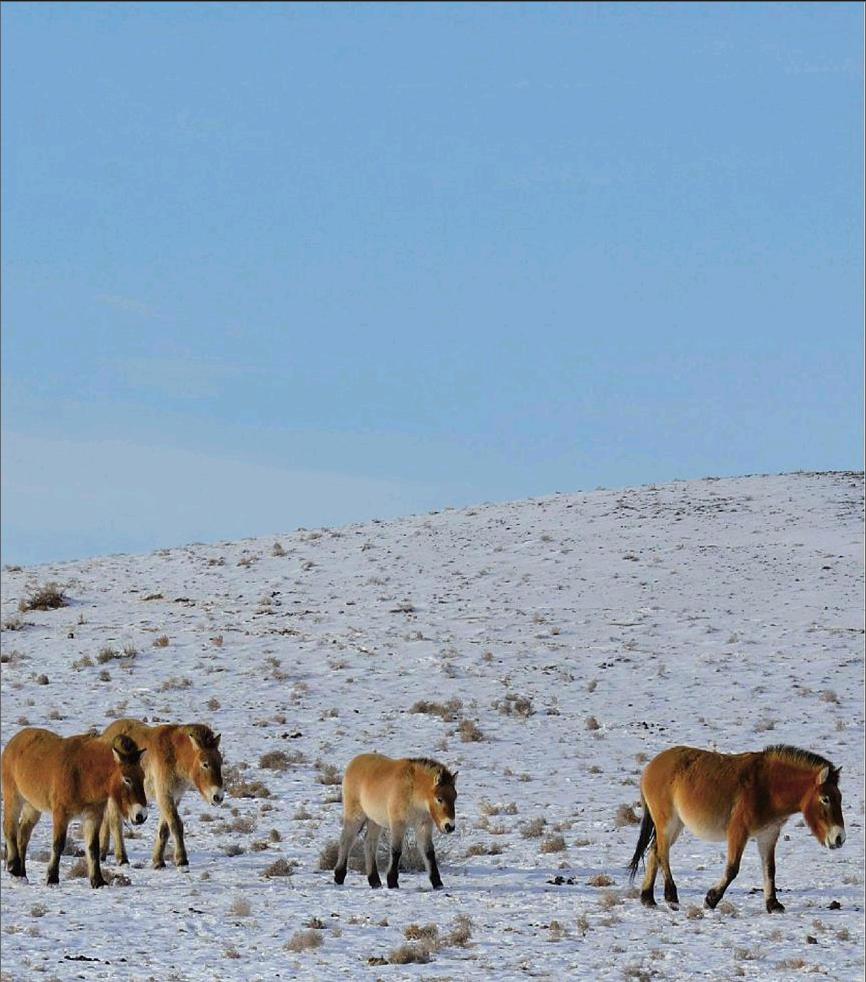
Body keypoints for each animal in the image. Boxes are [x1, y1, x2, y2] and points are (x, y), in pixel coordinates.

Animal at [0, 724, 147, 892]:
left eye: (143, 777)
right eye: (127, 779)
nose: (141, 815)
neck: (83, 774)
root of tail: (14, 742)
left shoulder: (93, 816)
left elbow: (93, 848)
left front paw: (98, 881)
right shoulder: (61, 814)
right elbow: (58, 845)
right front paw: (52, 878)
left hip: (32, 807)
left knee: (23, 834)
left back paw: (22, 874)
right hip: (14, 798)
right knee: (10, 828)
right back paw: (13, 866)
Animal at [98, 720, 223, 872]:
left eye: (220, 762)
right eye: (205, 764)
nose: (218, 797)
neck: (174, 754)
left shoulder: (174, 797)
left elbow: (164, 829)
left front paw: (158, 861)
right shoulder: (164, 795)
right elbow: (175, 824)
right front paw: (182, 861)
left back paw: (102, 853)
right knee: (115, 823)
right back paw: (122, 859)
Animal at [330, 752, 456, 892]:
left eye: (454, 797)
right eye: (439, 799)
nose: (449, 826)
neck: (412, 790)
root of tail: (354, 762)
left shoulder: (424, 825)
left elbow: (429, 852)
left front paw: (437, 883)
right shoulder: (398, 824)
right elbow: (396, 851)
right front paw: (392, 882)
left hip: (374, 821)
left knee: (369, 843)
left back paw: (374, 881)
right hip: (355, 816)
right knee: (346, 840)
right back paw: (339, 876)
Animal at [628, 744, 844, 916]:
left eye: (839, 798)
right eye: (825, 799)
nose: (839, 838)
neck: (768, 787)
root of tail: (651, 766)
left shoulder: (768, 835)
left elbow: (770, 870)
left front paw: (773, 905)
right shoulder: (738, 832)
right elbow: (732, 868)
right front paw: (711, 899)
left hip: (675, 826)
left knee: (654, 851)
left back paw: (648, 899)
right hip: (668, 823)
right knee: (662, 854)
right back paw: (671, 897)